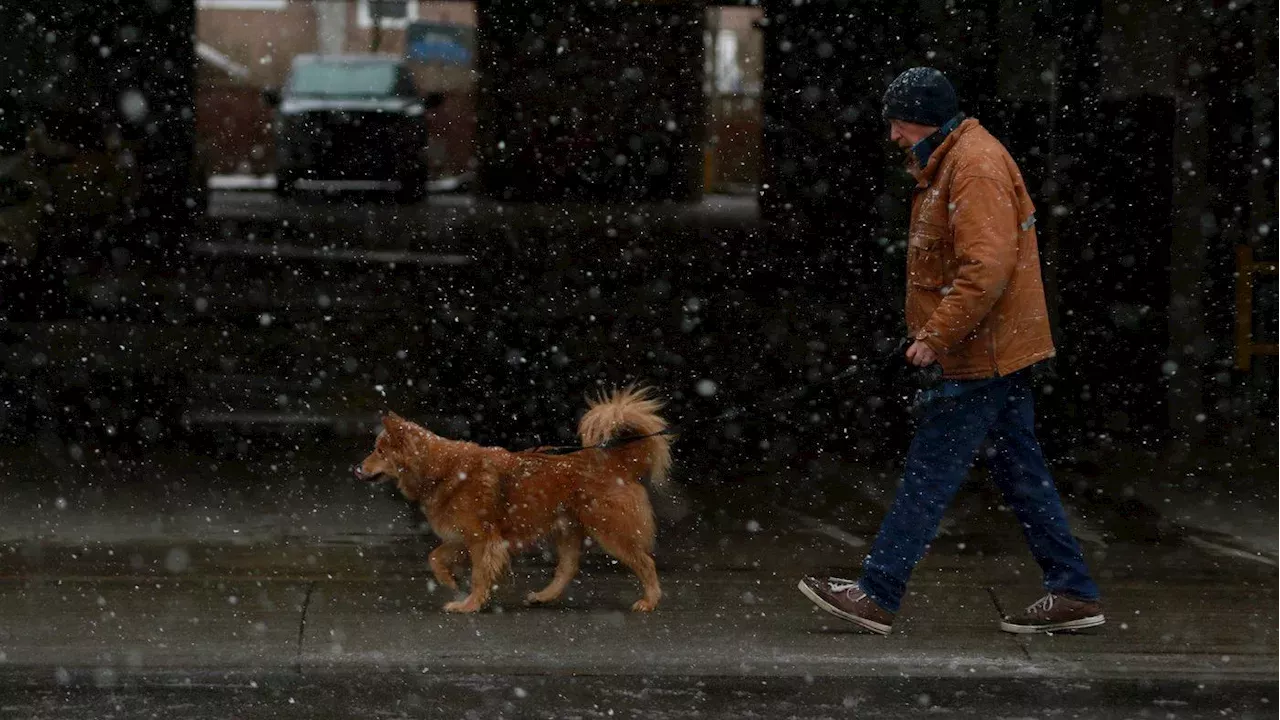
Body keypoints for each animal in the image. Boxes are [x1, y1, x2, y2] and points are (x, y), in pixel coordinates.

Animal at [350, 386, 670, 609]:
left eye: (379, 451)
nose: (356, 469)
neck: (440, 469)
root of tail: (618, 462)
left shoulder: (482, 539)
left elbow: (479, 575)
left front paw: (469, 605)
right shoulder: (461, 537)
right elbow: (434, 557)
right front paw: (449, 581)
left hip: (610, 529)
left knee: (645, 562)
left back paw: (650, 600)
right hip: (566, 529)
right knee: (568, 568)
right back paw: (544, 596)